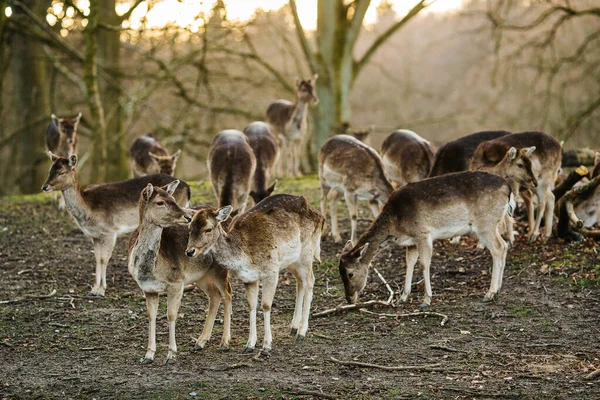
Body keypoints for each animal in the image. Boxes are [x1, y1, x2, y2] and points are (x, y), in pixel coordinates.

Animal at [41, 153, 190, 296]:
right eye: (49, 170)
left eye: (61, 172)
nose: (44, 187)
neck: (88, 209)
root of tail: (188, 187)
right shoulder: (95, 235)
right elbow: (97, 258)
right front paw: (94, 289)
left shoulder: (110, 231)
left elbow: (104, 259)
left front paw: (101, 290)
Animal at [185, 194, 324, 356]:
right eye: (189, 228)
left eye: (208, 229)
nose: (190, 251)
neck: (245, 255)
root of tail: (320, 215)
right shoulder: (249, 278)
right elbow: (251, 306)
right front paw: (250, 344)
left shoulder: (272, 270)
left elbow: (266, 305)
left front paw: (266, 346)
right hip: (291, 260)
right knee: (300, 281)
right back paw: (294, 327)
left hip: (307, 251)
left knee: (310, 280)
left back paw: (301, 332)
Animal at [340, 170, 512, 308]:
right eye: (339, 272)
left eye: (350, 274)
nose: (349, 299)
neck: (396, 223)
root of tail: (508, 188)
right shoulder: (411, 242)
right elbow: (409, 263)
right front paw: (401, 298)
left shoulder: (422, 234)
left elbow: (424, 263)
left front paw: (426, 300)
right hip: (493, 224)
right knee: (504, 246)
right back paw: (498, 289)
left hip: (485, 223)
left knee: (498, 248)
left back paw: (489, 294)